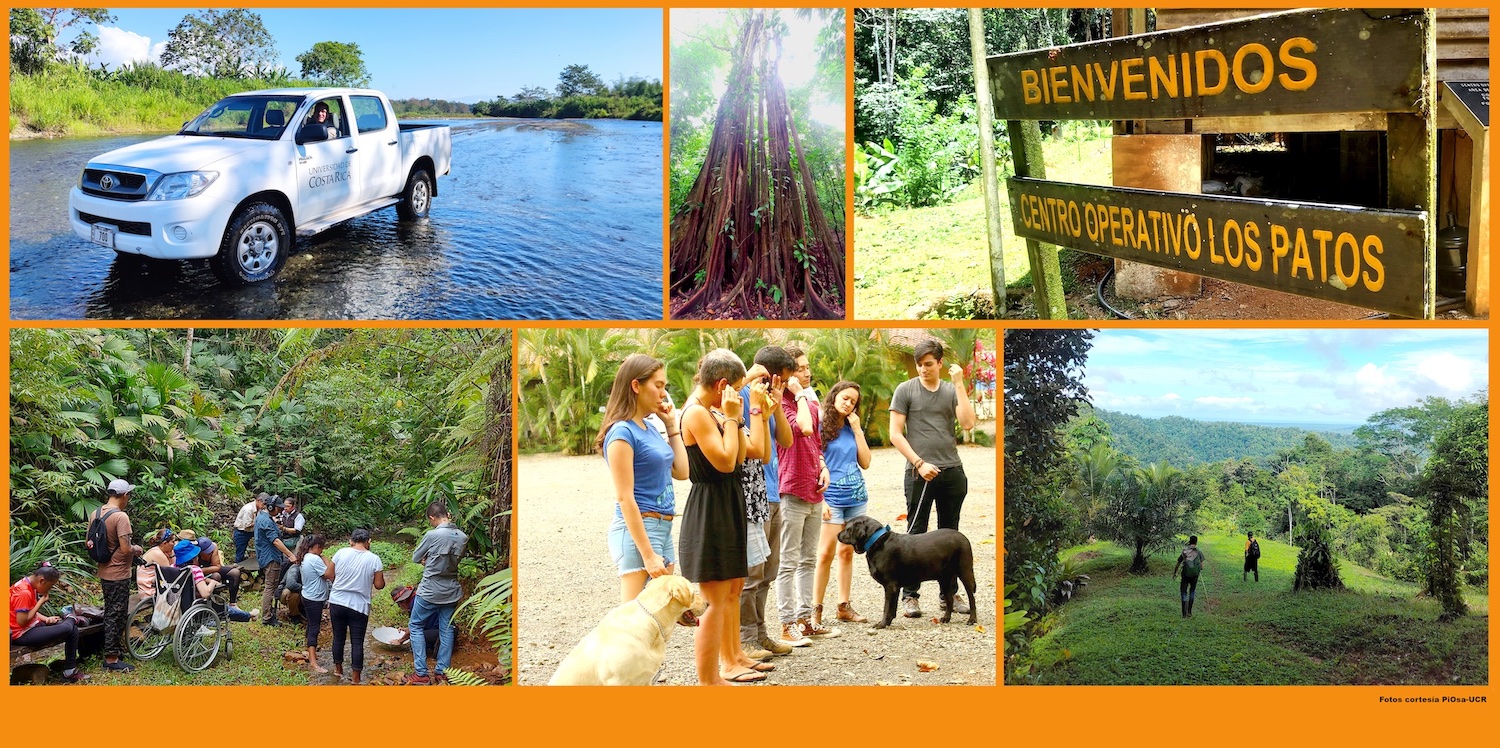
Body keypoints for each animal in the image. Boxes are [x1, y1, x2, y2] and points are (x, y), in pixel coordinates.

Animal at [840, 512, 978, 629]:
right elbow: (892, 609)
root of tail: (963, 537)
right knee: (949, 599)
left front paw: (882, 624)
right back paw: (946, 618)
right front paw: (887, 623)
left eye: (847, 528)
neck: (877, 542)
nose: (837, 535)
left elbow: (886, 608)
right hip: (944, 578)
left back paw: (972, 620)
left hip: (965, 572)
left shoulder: (890, 586)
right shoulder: (894, 588)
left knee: (972, 598)